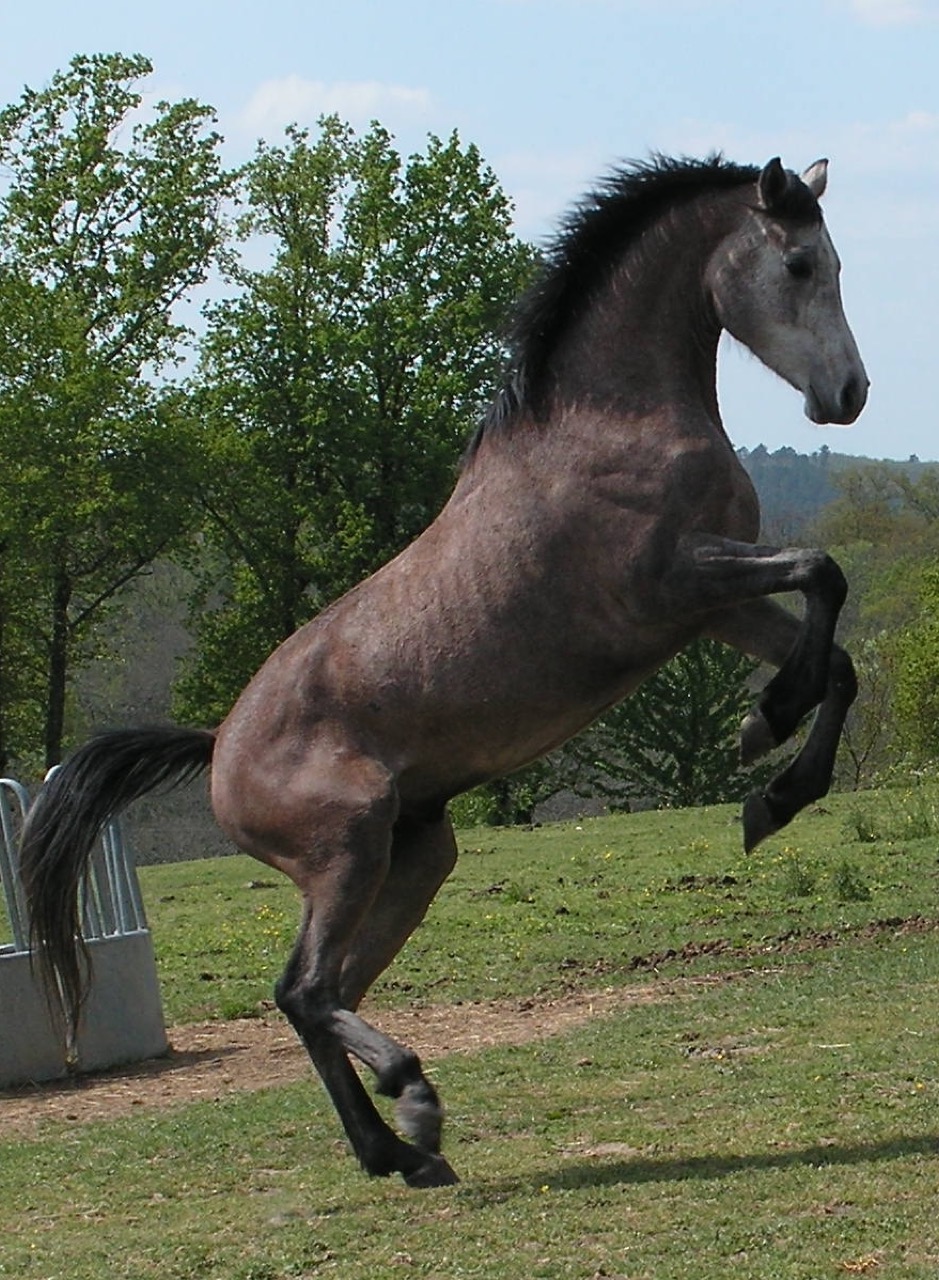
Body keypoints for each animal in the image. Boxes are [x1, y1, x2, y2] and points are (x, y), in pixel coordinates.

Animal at [18, 157, 869, 1187]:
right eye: (797, 264)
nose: (849, 393)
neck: (611, 423)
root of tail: (219, 748)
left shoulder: (715, 608)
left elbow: (837, 654)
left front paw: (770, 784)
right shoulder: (671, 583)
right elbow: (823, 575)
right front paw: (766, 728)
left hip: (414, 856)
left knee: (319, 996)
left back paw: (398, 1153)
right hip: (347, 850)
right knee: (302, 991)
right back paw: (411, 1101)